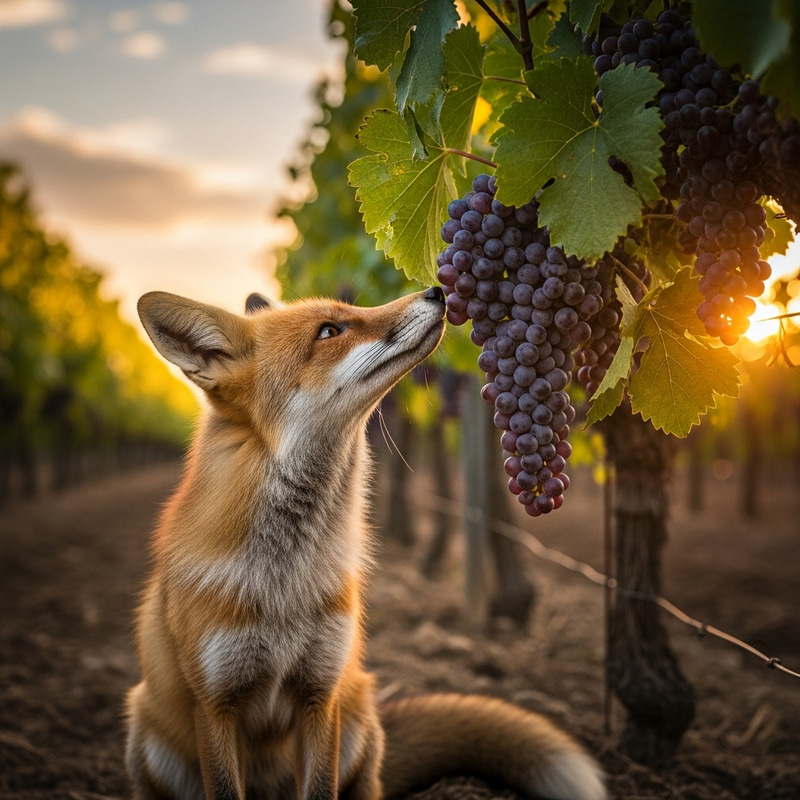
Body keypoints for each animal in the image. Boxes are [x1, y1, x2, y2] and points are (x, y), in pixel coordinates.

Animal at [126, 286, 607, 800]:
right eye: (329, 331)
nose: (438, 289)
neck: (285, 586)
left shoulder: (321, 692)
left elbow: (321, 789)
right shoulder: (215, 704)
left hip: (357, 717)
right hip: (146, 732)